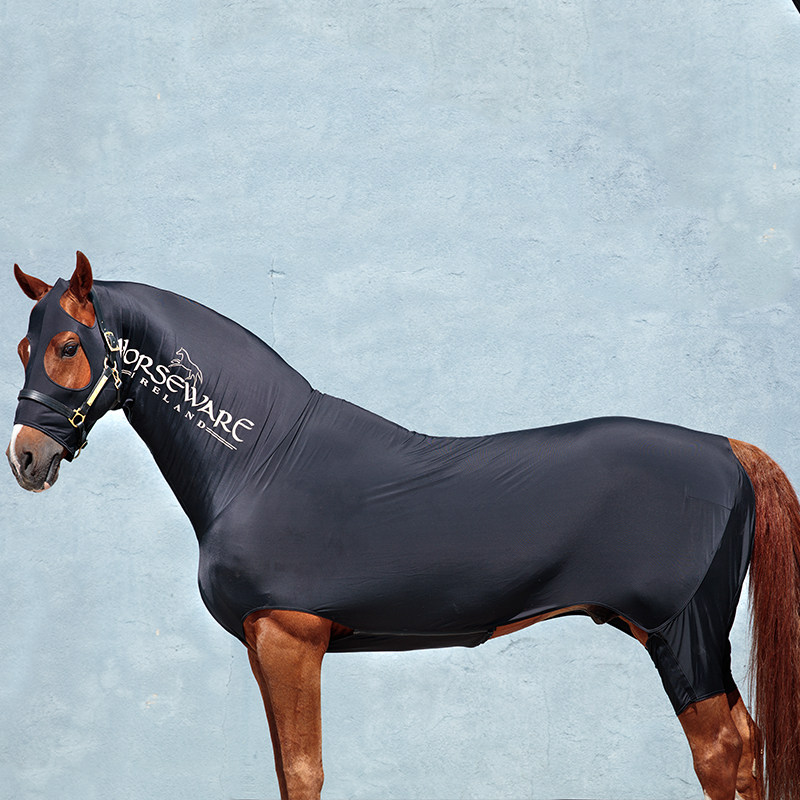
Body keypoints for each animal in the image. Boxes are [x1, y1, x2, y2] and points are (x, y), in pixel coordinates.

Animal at [6, 252, 800, 800]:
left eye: (69, 347)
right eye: (23, 348)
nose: (25, 458)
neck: (261, 463)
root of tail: (730, 448)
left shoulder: (288, 635)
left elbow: (304, 773)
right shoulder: (272, 644)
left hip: (680, 634)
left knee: (720, 754)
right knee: (747, 745)